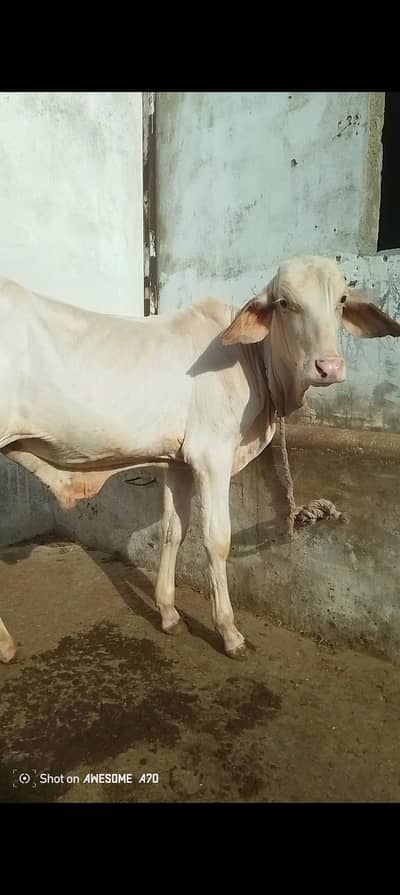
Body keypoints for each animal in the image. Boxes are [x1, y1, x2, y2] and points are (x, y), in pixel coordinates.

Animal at [0, 256, 399, 664]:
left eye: (342, 300)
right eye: (285, 303)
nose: (328, 367)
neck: (253, 363)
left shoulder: (178, 464)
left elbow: (173, 531)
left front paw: (169, 614)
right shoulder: (212, 456)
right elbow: (216, 539)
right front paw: (229, 632)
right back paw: (6, 645)